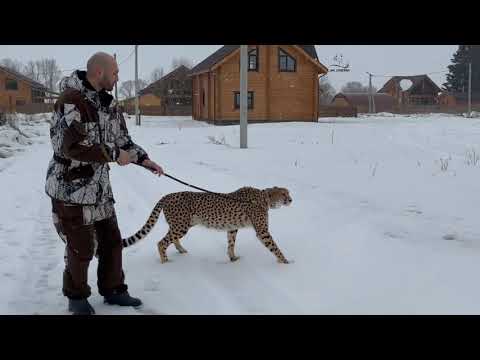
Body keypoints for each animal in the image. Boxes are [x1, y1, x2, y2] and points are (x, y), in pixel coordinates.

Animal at [121, 187, 292, 262]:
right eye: (284, 193)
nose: (291, 199)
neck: (265, 198)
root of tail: (168, 195)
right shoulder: (262, 231)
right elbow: (274, 246)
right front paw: (284, 261)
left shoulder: (232, 228)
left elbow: (231, 243)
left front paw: (232, 257)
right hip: (181, 226)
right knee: (161, 242)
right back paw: (165, 260)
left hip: (183, 224)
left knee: (171, 238)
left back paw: (181, 250)